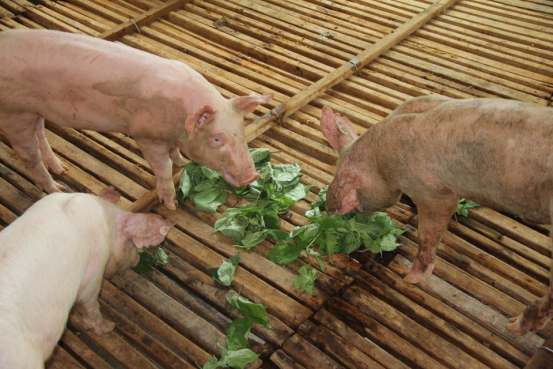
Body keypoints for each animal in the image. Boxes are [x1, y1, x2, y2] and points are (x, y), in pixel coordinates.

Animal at [0, 30, 272, 208]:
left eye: (241, 129)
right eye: (216, 139)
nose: (252, 175)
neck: (178, 120)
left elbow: (174, 154)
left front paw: (182, 161)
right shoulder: (145, 135)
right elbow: (164, 169)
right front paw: (170, 204)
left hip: (34, 110)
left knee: (40, 133)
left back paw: (62, 168)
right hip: (13, 112)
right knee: (29, 154)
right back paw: (56, 188)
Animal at [320, 95, 552, 336]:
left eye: (356, 204)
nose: (331, 211)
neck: (378, 159)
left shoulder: (430, 191)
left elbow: (429, 232)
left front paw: (409, 277)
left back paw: (514, 326)